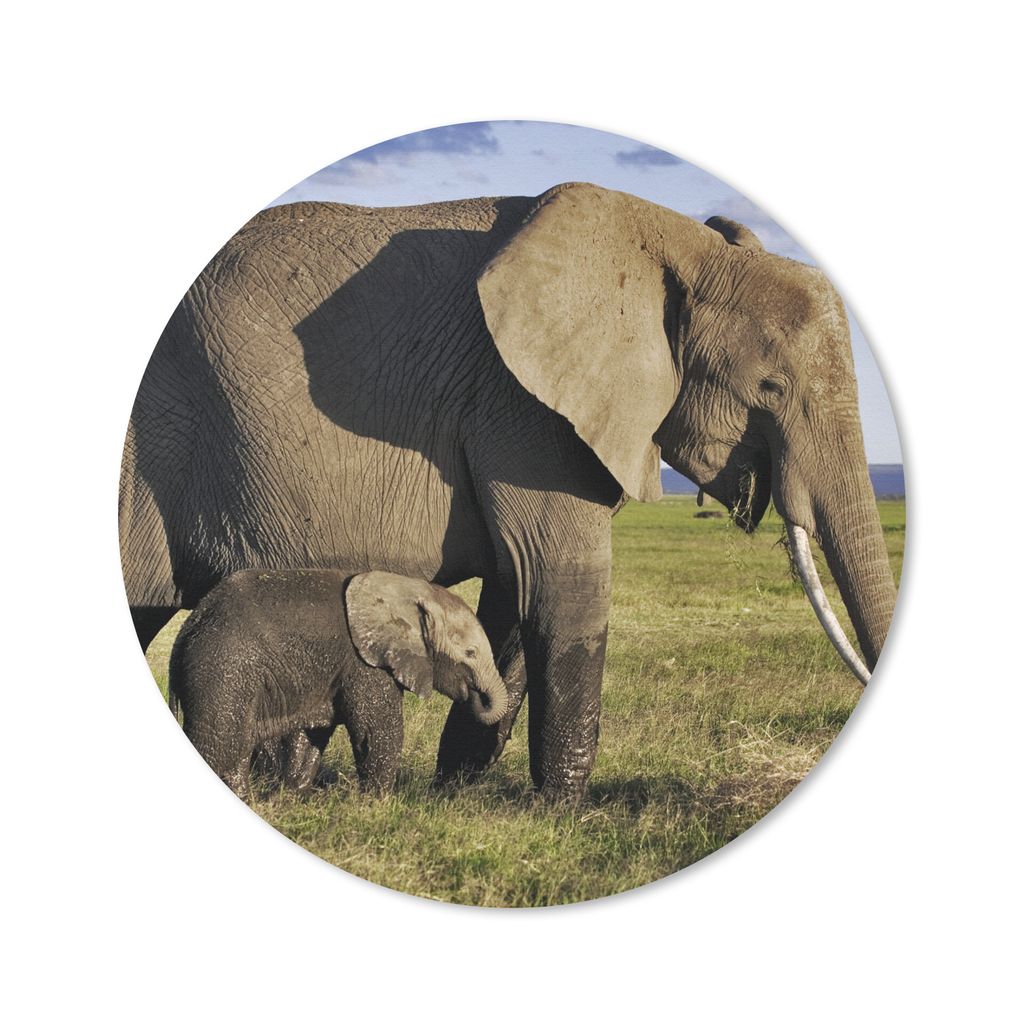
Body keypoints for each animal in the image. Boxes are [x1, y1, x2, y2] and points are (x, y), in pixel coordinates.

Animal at [168, 569, 509, 799]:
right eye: (470, 653)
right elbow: (378, 731)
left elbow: (312, 735)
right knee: (221, 745)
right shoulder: (364, 663)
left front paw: (293, 795)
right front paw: (377, 804)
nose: (475, 695)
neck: (409, 590)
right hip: (222, 672)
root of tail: (186, 631)